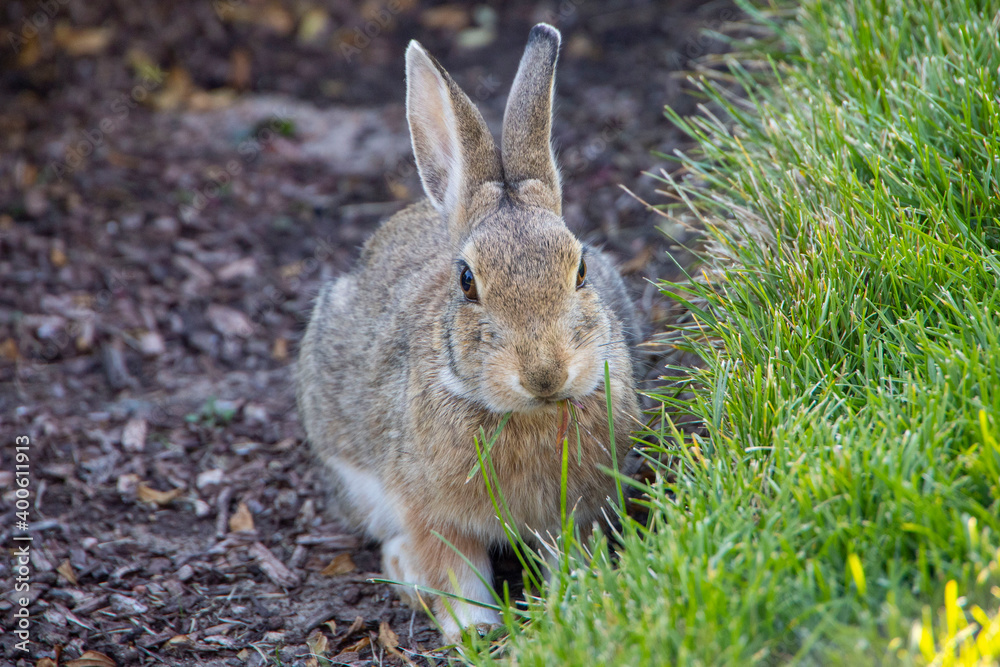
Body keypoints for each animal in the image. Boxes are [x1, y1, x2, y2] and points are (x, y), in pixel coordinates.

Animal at [296, 23, 640, 642]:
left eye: (581, 270)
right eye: (466, 282)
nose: (545, 373)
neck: (523, 414)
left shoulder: (576, 510)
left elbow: (569, 556)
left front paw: (572, 606)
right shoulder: (430, 511)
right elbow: (456, 569)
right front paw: (475, 630)